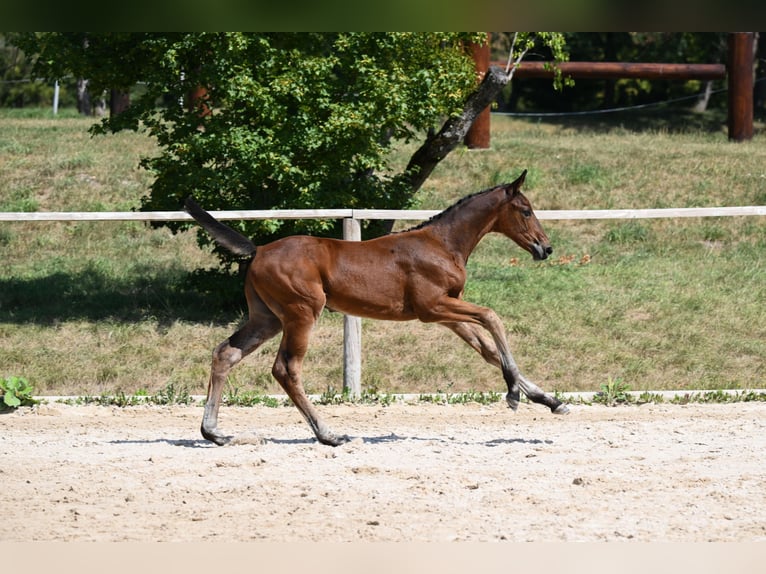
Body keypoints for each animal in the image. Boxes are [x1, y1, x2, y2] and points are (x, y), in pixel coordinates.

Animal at [185, 169, 569, 446]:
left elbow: (487, 350)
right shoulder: (433, 308)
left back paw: (214, 433)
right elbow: (492, 318)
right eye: (526, 210)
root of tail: (259, 250)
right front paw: (513, 394)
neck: (442, 244)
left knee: (226, 353)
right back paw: (328, 434)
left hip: (267, 318)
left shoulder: (447, 311)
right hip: (301, 313)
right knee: (286, 368)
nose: (546, 248)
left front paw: (549, 400)